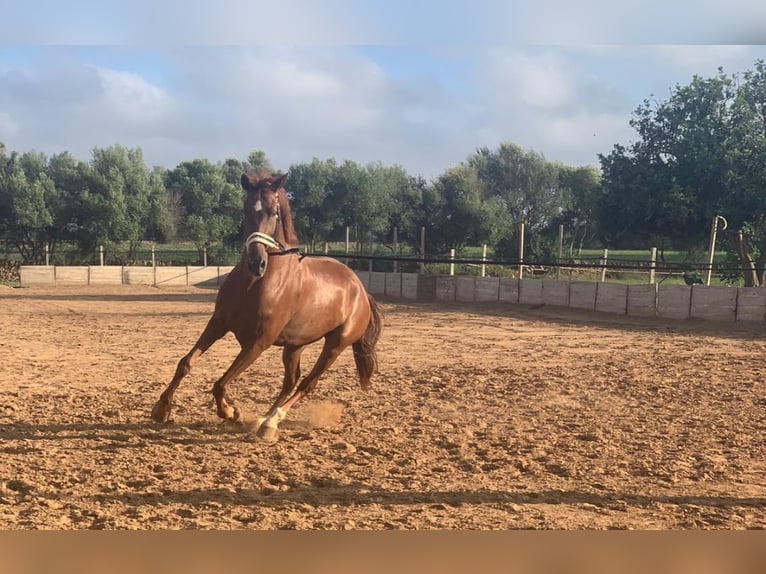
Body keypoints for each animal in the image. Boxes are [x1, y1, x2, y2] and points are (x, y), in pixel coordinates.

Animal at [152, 171, 384, 440]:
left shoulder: (257, 343)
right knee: (290, 381)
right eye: (245, 210)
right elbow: (186, 363)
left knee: (307, 383)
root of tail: (361, 290)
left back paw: (271, 423)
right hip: (294, 346)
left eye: (274, 212)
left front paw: (231, 413)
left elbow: (220, 384)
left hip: (336, 345)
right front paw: (161, 410)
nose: (256, 263)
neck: (254, 284)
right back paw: (264, 420)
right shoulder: (219, 323)